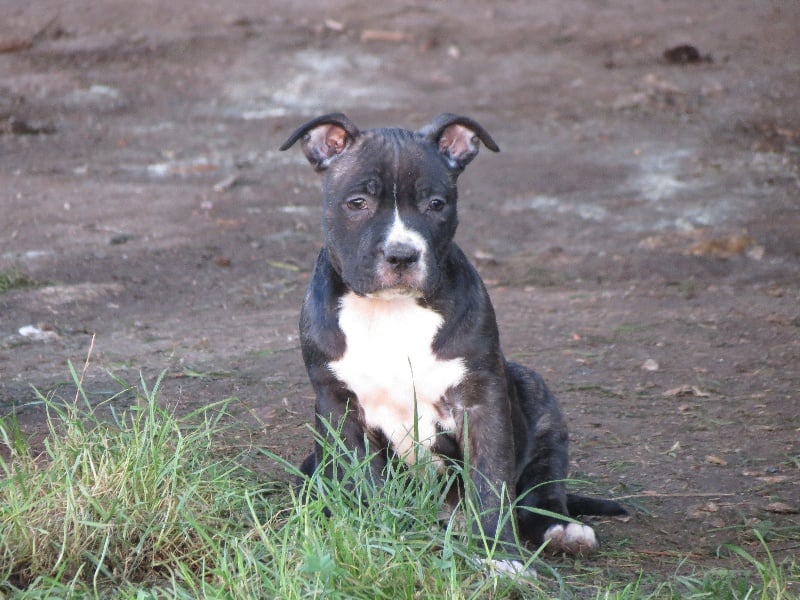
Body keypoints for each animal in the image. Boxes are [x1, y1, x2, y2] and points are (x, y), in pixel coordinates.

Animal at [282, 113, 624, 572]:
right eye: (357, 203)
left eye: (436, 205)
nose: (402, 254)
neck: (392, 311)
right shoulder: (339, 407)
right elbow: (364, 481)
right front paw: (373, 538)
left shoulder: (481, 402)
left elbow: (490, 484)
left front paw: (499, 555)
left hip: (537, 399)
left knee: (541, 490)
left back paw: (563, 529)